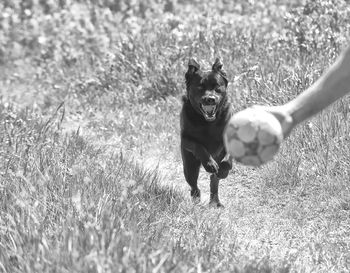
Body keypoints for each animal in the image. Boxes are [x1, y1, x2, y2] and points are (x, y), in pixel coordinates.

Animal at [180, 57, 232, 206]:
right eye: (200, 87)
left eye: (217, 87)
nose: (210, 99)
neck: (208, 123)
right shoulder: (185, 139)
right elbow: (199, 146)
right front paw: (210, 164)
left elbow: (228, 158)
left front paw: (224, 169)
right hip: (189, 165)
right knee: (193, 184)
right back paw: (196, 199)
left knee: (214, 181)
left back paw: (215, 201)